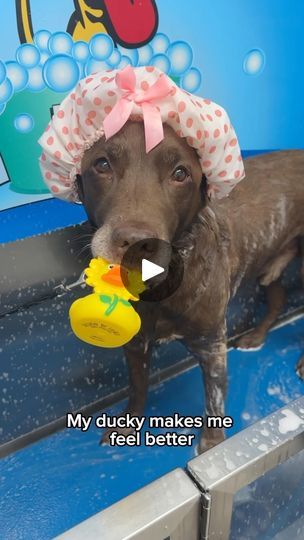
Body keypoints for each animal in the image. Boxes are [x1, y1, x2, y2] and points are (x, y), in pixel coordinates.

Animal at [76, 121, 304, 452]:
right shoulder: (135, 346)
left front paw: (213, 444)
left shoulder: (212, 348)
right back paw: (257, 336)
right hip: (267, 267)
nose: (135, 242)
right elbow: (137, 389)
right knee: (277, 299)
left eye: (180, 173)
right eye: (102, 164)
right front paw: (128, 425)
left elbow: (214, 400)